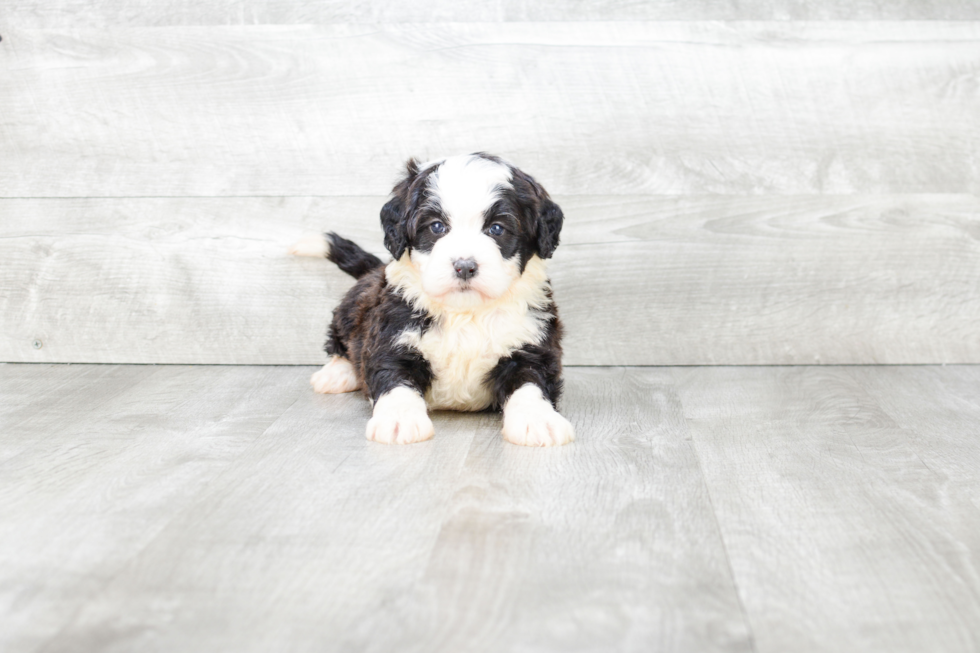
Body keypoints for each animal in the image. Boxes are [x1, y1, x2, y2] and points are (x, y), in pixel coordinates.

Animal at [288, 153, 572, 448]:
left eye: (497, 228)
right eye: (437, 227)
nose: (464, 266)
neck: (465, 313)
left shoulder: (533, 344)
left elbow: (531, 384)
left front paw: (538, 420)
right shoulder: (392, 337)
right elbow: (395, 380)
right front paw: (398, 420)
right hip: (353, 308)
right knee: (340, 339)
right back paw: (337, 374)